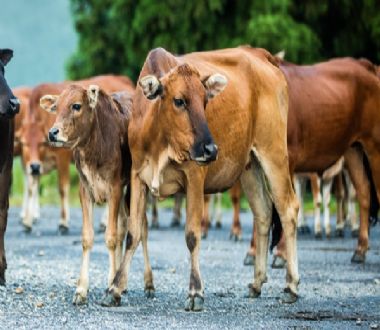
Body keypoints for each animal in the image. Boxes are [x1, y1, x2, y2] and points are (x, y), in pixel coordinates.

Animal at [20, 76, 135, 233]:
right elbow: (31, 187)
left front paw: (63, 223)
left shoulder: (62, 157)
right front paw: (27, 221)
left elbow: (62, 188)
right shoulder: (33, 164)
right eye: (24, 143)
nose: (52, 133)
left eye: (41, 143)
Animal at [40, 84, 154, 304]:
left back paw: (148, 284)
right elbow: (88, 237)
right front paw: (81, 289)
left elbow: (110, 237)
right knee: (124, 226)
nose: (53, 132)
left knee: (141, 227)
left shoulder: (115, 188)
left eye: (76, 105)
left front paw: (110, 285)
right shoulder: (85, 189)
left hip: (134, 188)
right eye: (56, 107)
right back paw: (122, 283)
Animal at [100, 46, 300, 310]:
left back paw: (291, 285)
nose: (210, 149)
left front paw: (195, 291)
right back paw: (257, 283)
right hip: (250, 166)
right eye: (179, 101)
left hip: (273, 152)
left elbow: (192, 235)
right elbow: (133, 234)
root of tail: (261, 55)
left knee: (288, 209)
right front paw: (114, 288)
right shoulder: (137, 178)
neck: (160, 141)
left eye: (205, 101)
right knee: (264, 212)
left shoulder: (194, 176)